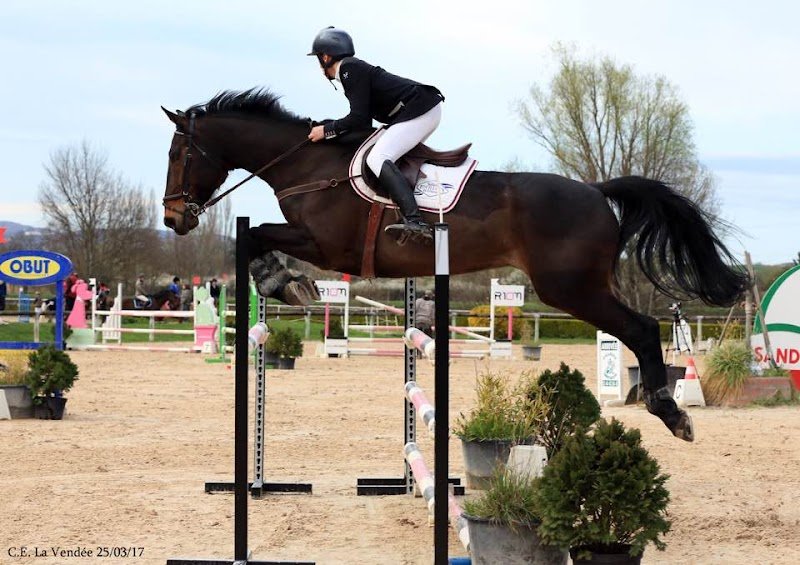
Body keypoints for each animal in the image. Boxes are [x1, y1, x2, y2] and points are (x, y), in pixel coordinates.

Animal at [161, 88, 748, 442]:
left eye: (178, 155)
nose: (173, 218)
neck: (306, 163)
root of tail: (596, 190)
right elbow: (256, 237)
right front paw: (284, 281)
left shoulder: (328, 247)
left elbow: (256, 236)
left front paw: (283, 282)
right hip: (579, 287)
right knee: (640, 329)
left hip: (568, 289)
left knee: (643, 329)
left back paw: (671, 411)